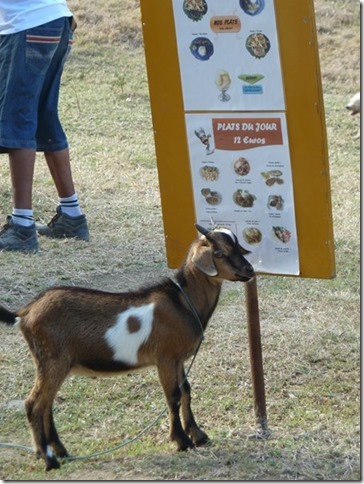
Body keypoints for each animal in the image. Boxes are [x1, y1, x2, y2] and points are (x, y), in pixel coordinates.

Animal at [0, 225, 255, 470]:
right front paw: (181, 441)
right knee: (34, 404)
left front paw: (198, 435)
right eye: (219, 253)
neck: (182, 301)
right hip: (52, 360)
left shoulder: (179, 359)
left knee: (46, 405)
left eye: (237, 247)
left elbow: (186, 391)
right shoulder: (165, 357)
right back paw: (49, 460)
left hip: (53, 363)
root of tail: (25, 312)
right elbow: (172, 395)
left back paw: (61, 452)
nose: (249, 270)